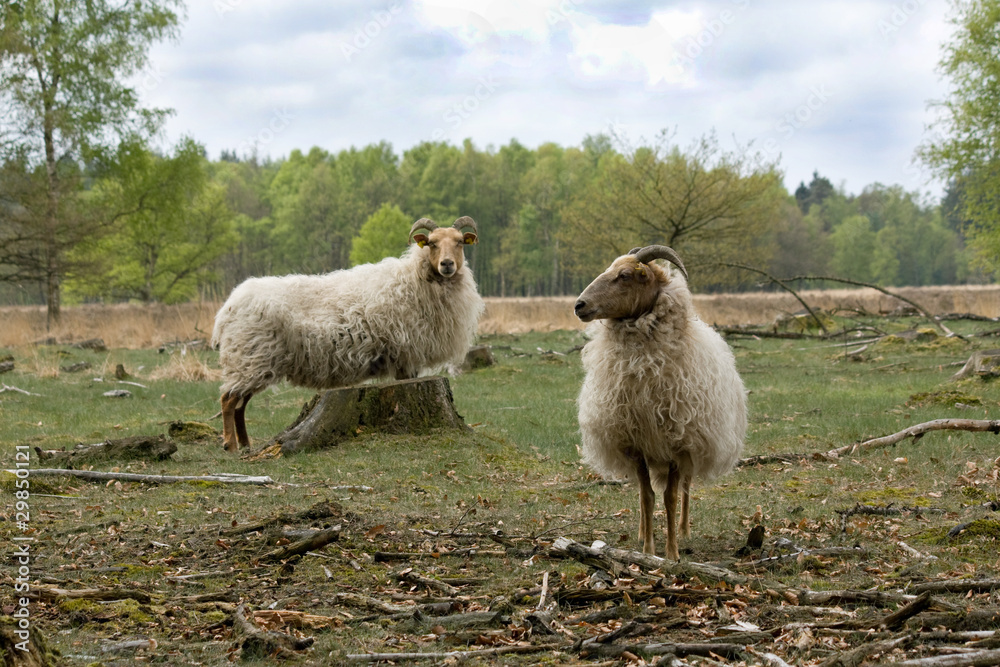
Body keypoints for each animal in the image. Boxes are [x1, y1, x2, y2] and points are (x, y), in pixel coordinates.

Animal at [211, 216, 485, 452]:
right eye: (432, 243)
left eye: (459, 242)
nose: (447, 264)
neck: (414, 280)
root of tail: (227, 308)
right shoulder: (405, 355)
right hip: (249, 358)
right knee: (228, 400)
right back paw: (231, 446)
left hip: (254, 362)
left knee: (240, 404)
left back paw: (245, 445)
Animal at [574, 245, 747, 560]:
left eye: (625, 275)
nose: (579, 305)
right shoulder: (636, 443)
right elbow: (647, 496)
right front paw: (647, 548)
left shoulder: (679, 443)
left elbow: (671, 497)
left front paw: (673, 553)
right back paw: (644, 532)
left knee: (687, 488)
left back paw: (684, 530)